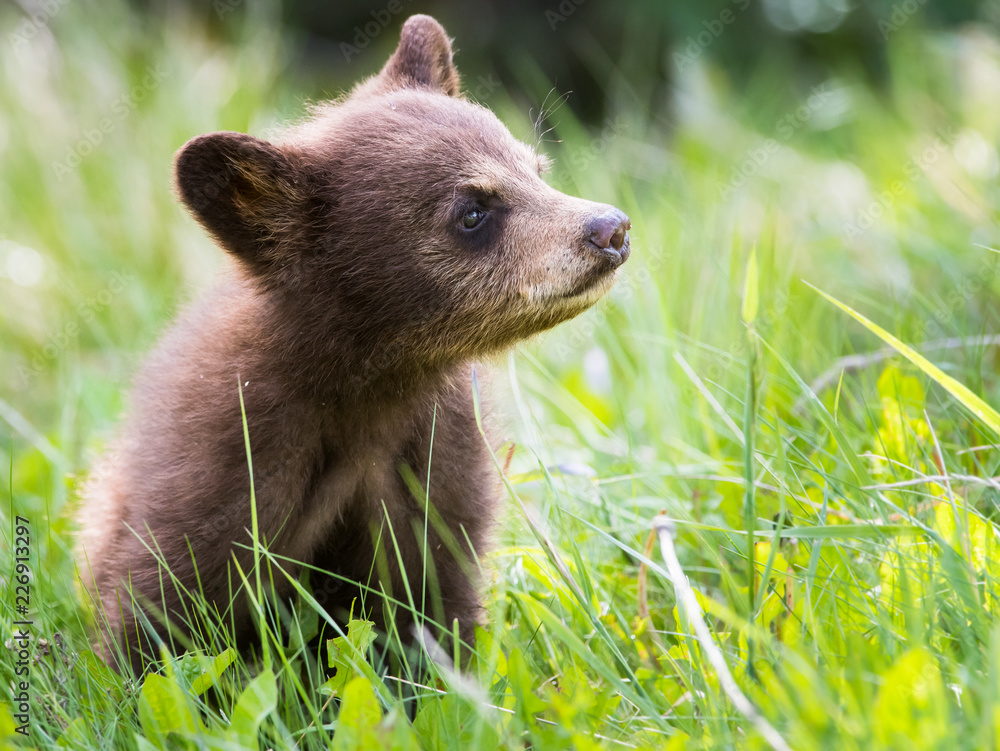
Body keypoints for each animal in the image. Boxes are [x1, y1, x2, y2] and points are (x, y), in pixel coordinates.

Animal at [77, 14, 631, 675]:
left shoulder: (435, 463)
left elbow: (436, 602)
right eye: (472, 211)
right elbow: (162, 616)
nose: (611, 229)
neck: (370, 394)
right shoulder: (221, 464)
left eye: (537, 169)